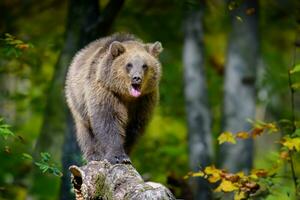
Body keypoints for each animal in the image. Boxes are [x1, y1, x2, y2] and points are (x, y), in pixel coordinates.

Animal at [64, 33, 163, 164]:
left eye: (144, 65)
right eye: (129, 64)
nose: (137, 78)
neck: (126, 96)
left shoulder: (144, 101)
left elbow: (134, 128)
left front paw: (126, 153)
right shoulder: (106, 92)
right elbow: (108, 121)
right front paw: (117, 156)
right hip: (77, 99)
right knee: (85, 129)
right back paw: (94, 155)